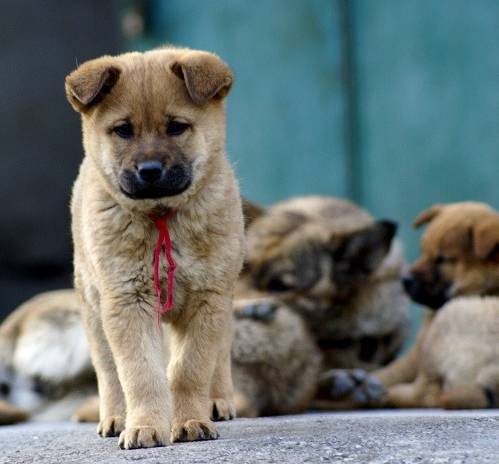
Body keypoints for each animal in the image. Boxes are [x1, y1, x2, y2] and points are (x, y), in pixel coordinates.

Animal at [65, 45, 245, 448]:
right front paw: (145, 426)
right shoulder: (127, 303)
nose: (149, 170)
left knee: (219, 357)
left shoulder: (209, 299)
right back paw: (116, 417)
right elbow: (140, 374)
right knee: (109, 372)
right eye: (123, 130)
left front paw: (191, 420)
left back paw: (218, 401)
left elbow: (191, 368)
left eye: (177, 126)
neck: (162, 216)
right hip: (94, 311)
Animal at [324, 201, 499, 408]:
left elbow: (386, 373)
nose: (405, 280)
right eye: (423, 251)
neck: (488, 284)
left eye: (442, 259)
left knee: (426, 395)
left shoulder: (416, 353)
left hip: (446, 322)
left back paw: (384, 396)